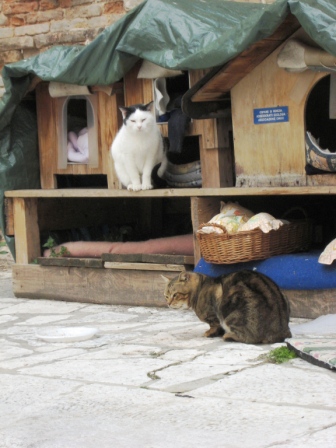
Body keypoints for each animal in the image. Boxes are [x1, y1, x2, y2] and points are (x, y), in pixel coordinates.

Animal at [163, 268, 292, 344]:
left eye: (175, 295)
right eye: (166, 296)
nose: (168, 303)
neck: (200, 289)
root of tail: (280, 332)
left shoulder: (214, 314)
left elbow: (214, 325)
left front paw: (210, 333)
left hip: (233, 311)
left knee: (250, 338)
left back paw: (228, 336)